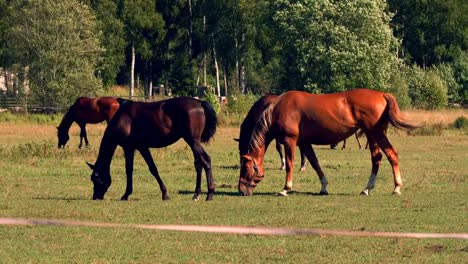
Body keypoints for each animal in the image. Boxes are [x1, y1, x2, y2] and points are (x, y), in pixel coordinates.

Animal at [86, 96, 218, 200]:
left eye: (96, 179)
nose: (96, 197)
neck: (123, 118)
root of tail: (199, 102)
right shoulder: (140, 148)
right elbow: (148, 168)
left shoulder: (131, 148)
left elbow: (136, 169)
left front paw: (126, 195)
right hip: (193, 142)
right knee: (198, 164)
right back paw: (196, 194)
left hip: (193, 141)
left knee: (206, 160)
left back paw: (210, 194)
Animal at [239, 88, 418, 196]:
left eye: (245, 168)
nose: (241, 189)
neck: (279, 109)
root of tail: (382, 94)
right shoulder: (304, 143)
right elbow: (314, 163)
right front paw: (324, 187)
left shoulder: (290, 141)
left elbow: (289, 164)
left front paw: (285, 189)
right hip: (373, 134)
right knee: (379, 158)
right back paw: (369, 189)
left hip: (375, 133)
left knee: (388, 155)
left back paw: (394, 187)